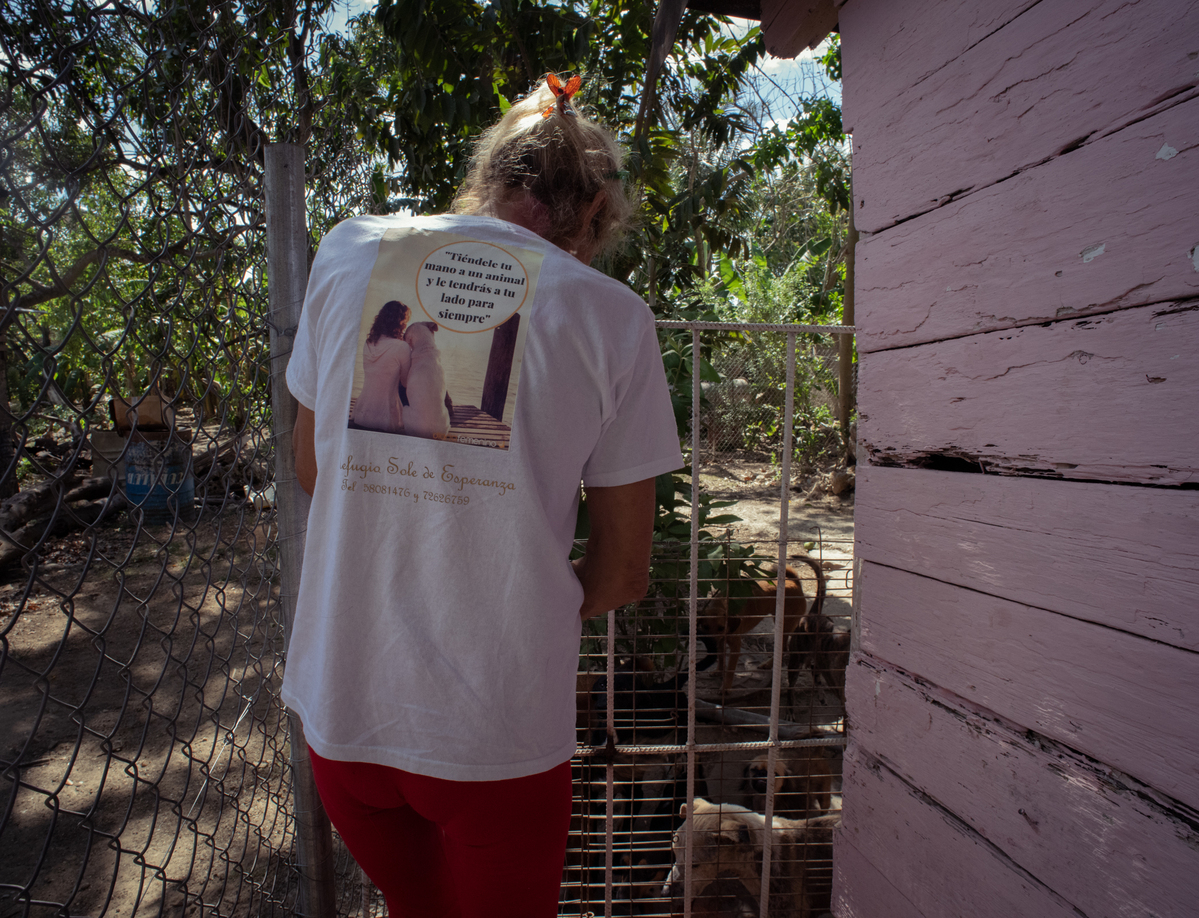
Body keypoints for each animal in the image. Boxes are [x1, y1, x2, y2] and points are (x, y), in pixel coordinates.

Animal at [696, 557, 826, 693]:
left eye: (721, 628)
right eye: (705, 627)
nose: (711, 644)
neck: (721, 604)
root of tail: (794, 582)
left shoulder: (735, 647)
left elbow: (730, 670)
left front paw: (726, 687)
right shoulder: (721, 641)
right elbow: (721, 659)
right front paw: (718, 671)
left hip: (784, 625)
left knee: (784, 648)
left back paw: (768, 664)